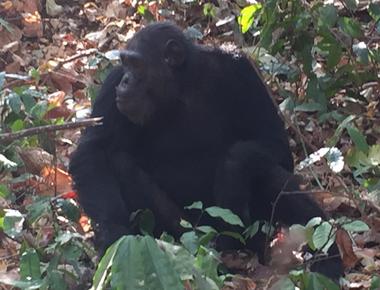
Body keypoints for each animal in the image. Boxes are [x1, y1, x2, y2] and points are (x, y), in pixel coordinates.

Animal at [69, 21, 344, 278]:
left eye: (136, 65)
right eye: (125, 64)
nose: (126, 81)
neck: (182, 86)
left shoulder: (242, 70)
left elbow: (273, 143)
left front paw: (230, 177)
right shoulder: (111, 86)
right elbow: (93, 152)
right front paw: (113, 236)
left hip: (253, 232)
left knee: (268, 173)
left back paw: (328, 260)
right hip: (186, 235)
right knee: (120, 163)